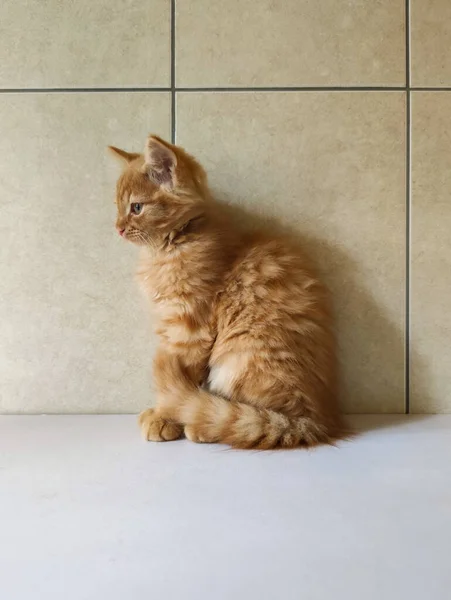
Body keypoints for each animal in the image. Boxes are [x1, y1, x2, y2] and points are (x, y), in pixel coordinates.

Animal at [111, 134, 344, 448]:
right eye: (117, 207)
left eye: (136, 208)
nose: (118, 228)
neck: (173, 246)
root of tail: (315, 421)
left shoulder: (190, 329)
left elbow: (177, 380)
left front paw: (164, 417)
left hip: (242, 356)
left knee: (246, 420)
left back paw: (203, 425)